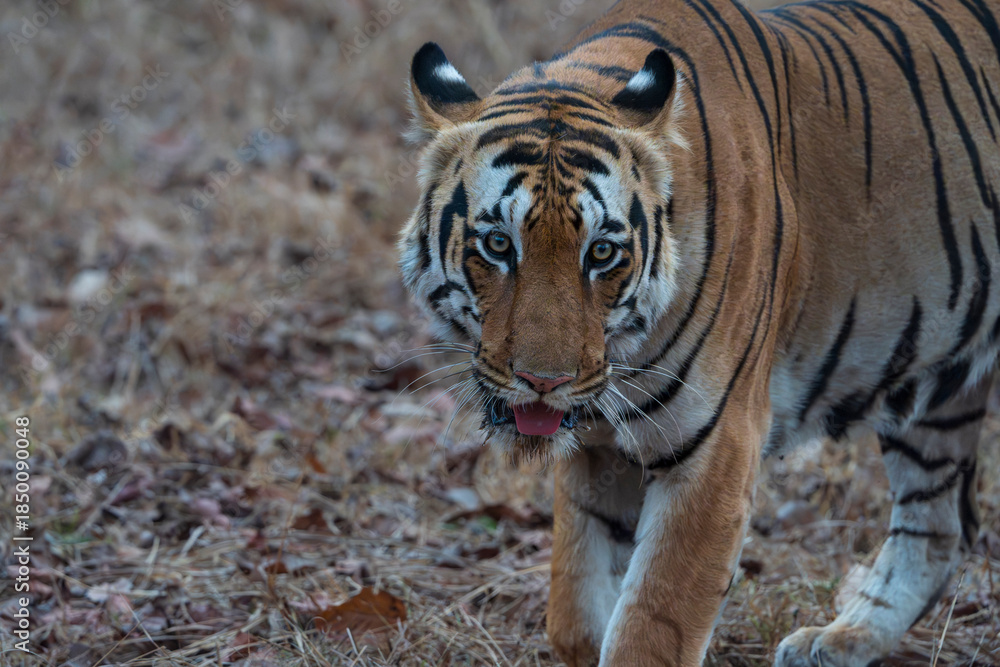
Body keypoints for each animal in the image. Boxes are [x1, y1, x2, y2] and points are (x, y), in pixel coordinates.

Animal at [398, 0, 1000, 663]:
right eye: (499, 245)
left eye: (601, 252)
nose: (543, 382)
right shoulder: (597, 452)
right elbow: (577, 615)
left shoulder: (716, 450)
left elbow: (647, 630)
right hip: (936, 395)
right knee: (944, 525)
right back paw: (840, 640)